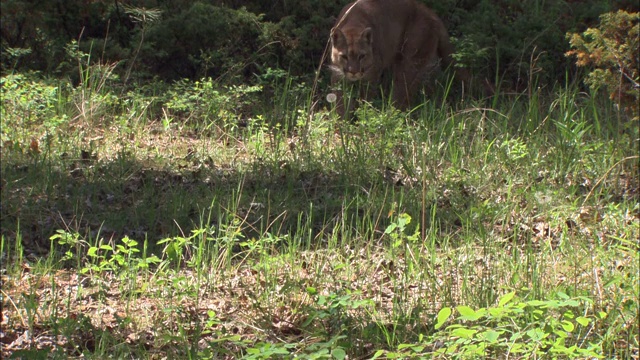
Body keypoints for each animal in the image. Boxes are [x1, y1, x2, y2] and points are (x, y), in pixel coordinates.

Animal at [330, 0, 470, 114]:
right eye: (344, 56)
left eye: (362, 56)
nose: (353, 72)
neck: (353, 25)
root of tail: (430, 12)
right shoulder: (337, 75)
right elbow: (339, 101)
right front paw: (341, 122)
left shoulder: (372, 74)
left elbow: (366, 98)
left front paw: (362, 116)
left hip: (409, 62)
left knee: (402, 95)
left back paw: (390, 117)